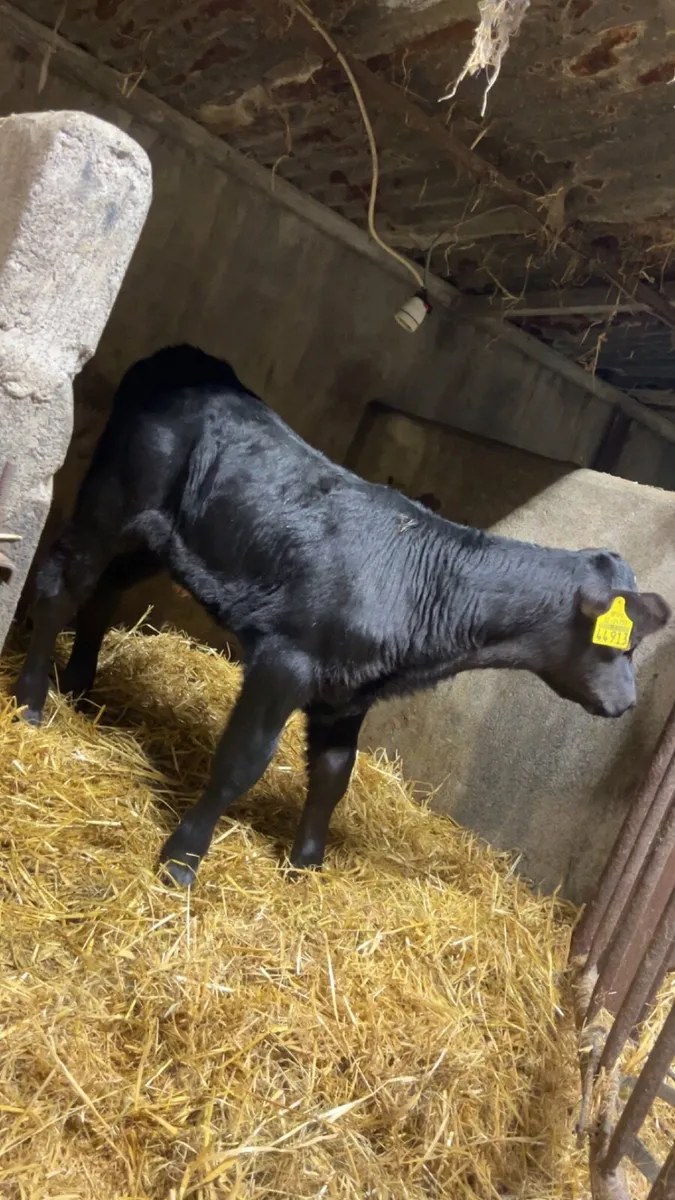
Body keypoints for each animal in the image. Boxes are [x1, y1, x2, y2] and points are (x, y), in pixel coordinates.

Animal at [12, 345, 670, 888]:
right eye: (617, 643)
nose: (627, 704)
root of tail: (187, 357)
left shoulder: (347, 695)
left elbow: (333, 776)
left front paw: (306, 870)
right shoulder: (285, 661)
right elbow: (242, 761)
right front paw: (181, 861)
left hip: (158, 538)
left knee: (103, 592)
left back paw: (81, 689)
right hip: (111, 502)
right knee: (60, 583)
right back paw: (31, 701)